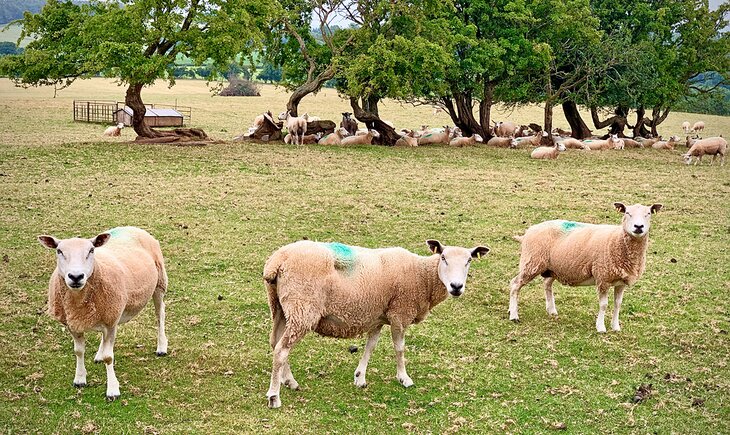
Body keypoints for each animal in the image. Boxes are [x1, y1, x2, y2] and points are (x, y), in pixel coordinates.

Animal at [38, 228, 168, 402]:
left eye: (91, 250)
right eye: (59, 251)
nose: (76, 276)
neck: (78, 302)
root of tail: (133, 227)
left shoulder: (110, 321)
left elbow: (109, 357)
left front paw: (112, 390)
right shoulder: (74, 323)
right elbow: (78, 351)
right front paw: (80, 379)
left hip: (159, 283)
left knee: (160, 313)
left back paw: (161, 346)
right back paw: (99, 354)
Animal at [262, 238, 490, 408]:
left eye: (469, 260)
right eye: (443, 257)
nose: (456, 286)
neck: (423, 277)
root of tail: (277, 260)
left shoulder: (378, 317)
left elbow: (370, 346)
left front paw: (359, 377)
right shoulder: (400, 313)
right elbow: (399, 348)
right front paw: (404, 378)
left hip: (280, 307)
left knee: (276, 343)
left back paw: (288, 381)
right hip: (303, 308)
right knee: (282, 349)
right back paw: (274, 396)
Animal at [506, 204, 660, 334]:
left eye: (648, 213)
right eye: (627, 212)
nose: (638, 226)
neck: (618, 240)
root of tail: (528, 232)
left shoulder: (621, 282)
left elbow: (618, 304)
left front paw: (616, 327)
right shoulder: (603, 278)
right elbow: (604, 305)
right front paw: (601, 327)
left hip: (552, 268)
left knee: (547, 284)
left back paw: (551, 310)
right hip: (531, 262)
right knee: (515, 284)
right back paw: (514, 315)